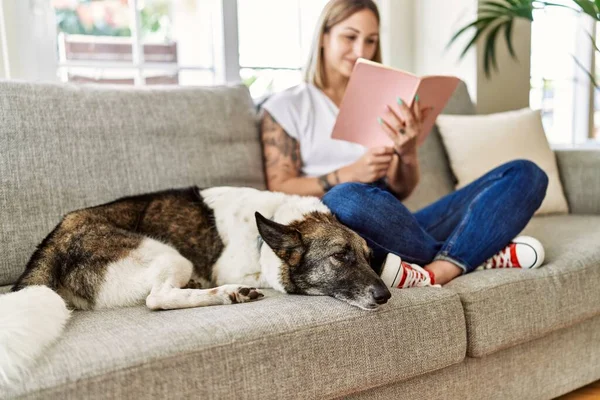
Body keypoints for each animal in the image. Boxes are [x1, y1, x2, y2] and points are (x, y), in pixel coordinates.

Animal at [0, 186, 392, 382]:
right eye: (340, 256)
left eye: (368, 256)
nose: (386, 296)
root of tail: (57, 235)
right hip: (172, 257)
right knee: (158, 299)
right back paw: (228, 294)